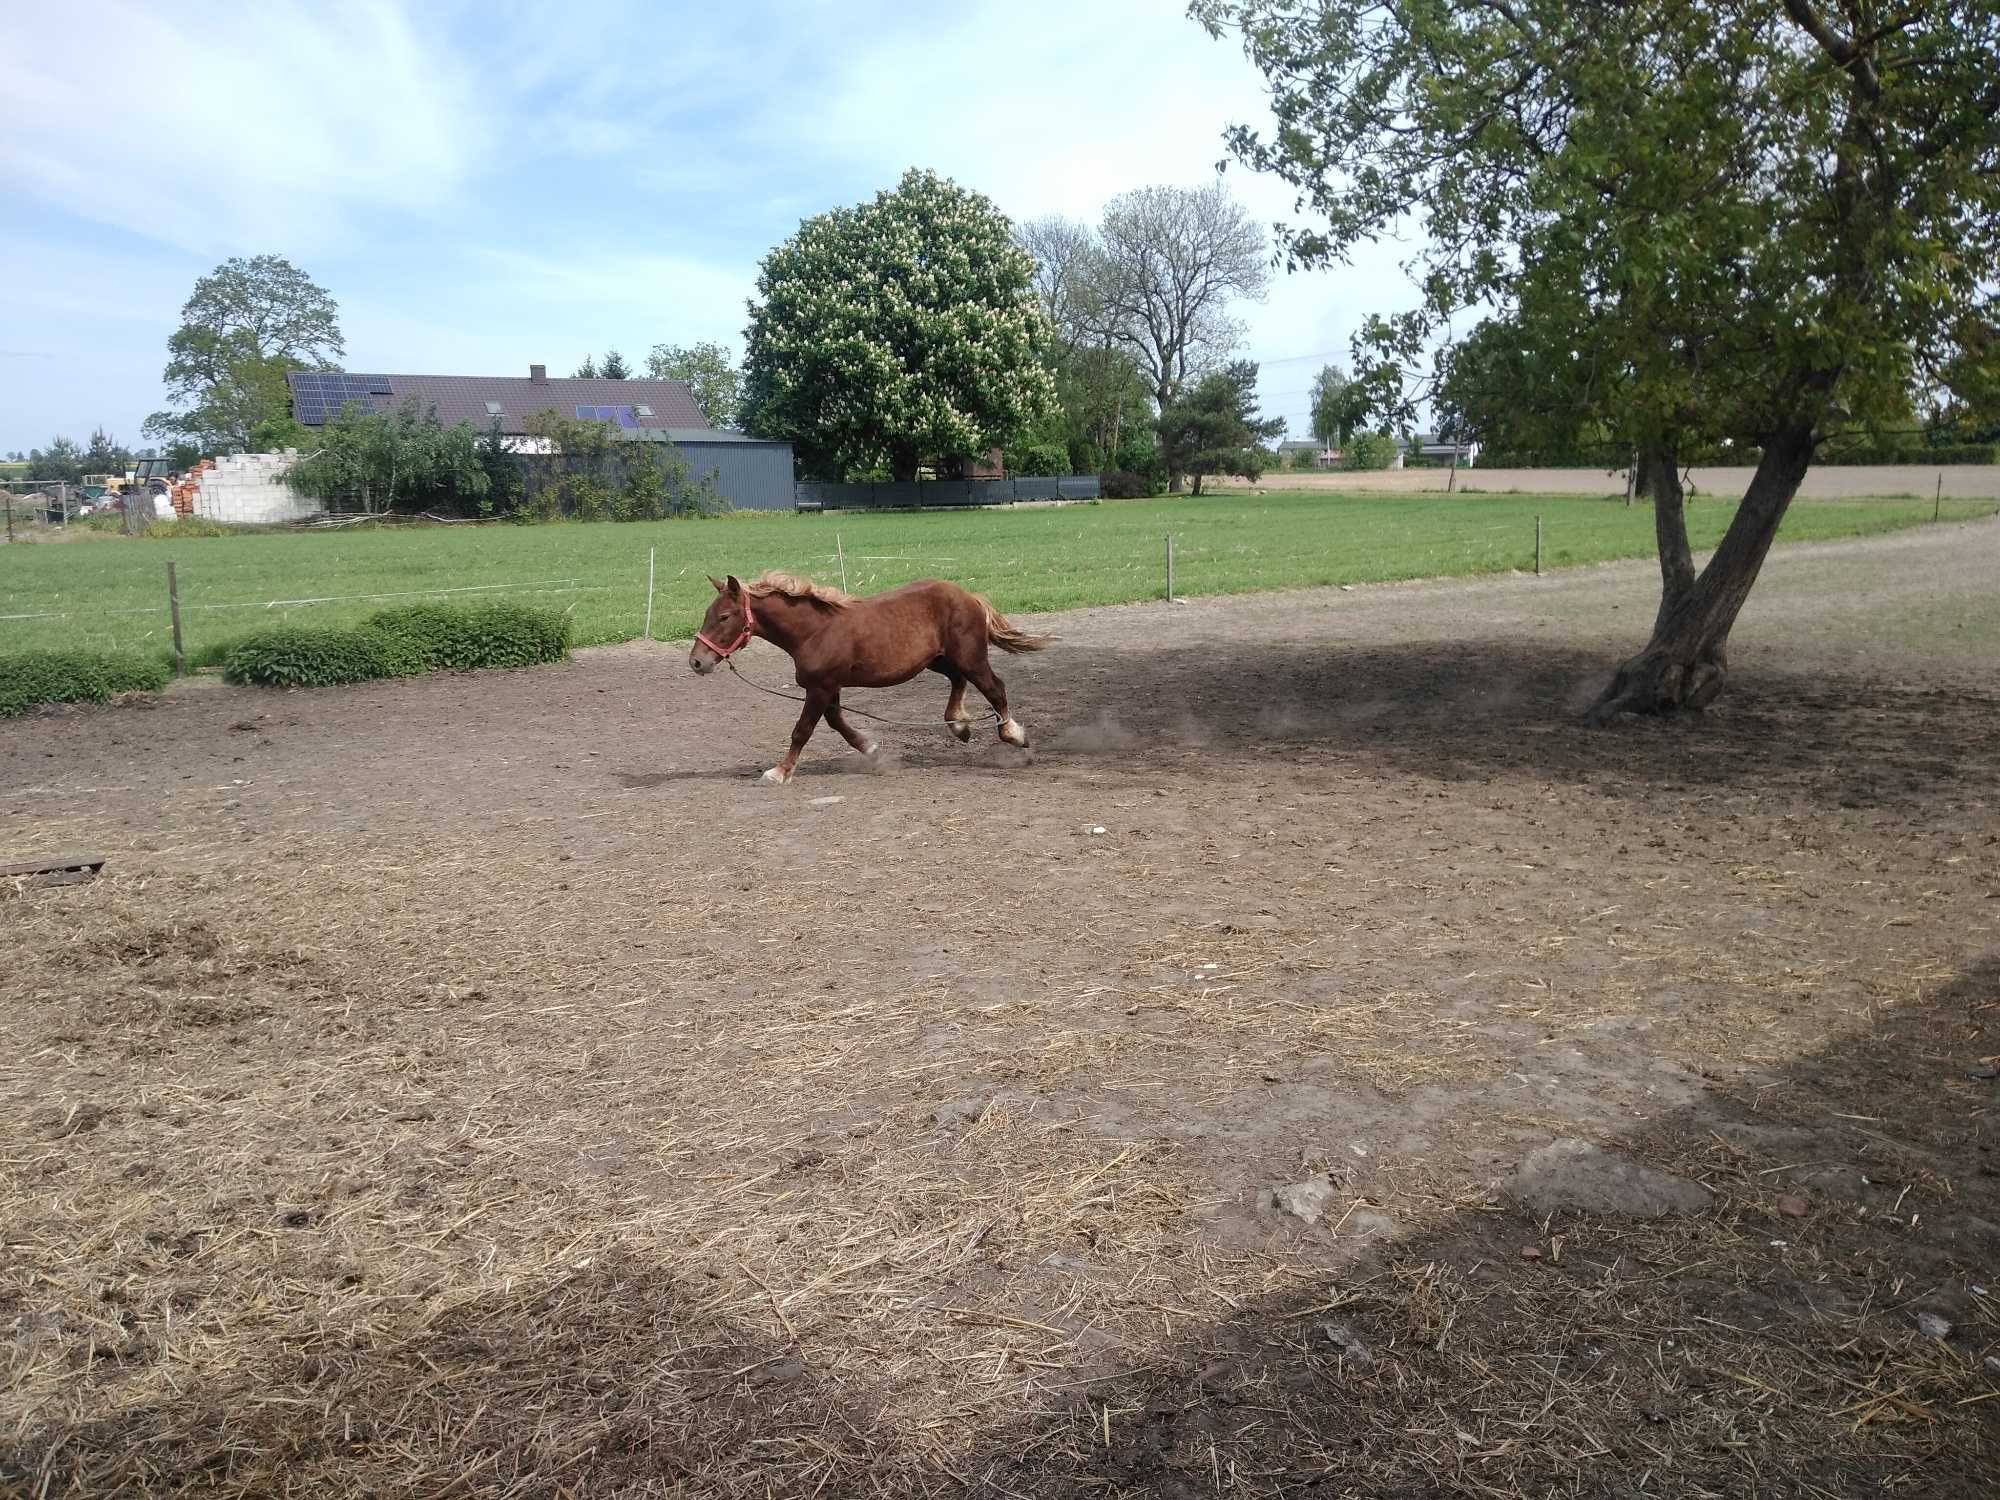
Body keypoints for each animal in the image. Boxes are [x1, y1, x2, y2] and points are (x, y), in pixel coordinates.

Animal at [692, 576, 1048, 788]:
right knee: (958, 681)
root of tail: (969, 596)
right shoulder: (829, 687)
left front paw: (779, 772)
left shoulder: (820, 688)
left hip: (970, 658)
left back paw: (1014, 735)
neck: (814, 631)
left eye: (724, 617)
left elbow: (802, 731)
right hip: (937, 660)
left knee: (994, 687)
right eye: (708, 613)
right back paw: (959, 725)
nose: (697, 661)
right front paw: (873, 751)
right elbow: (837, 722)